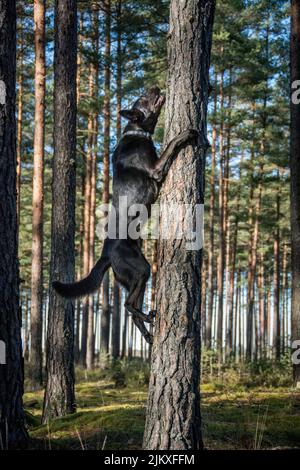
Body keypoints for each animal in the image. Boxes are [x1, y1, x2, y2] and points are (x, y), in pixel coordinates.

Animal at [53, 86, 199, 344]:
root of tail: (106, 255)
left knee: (131, 310)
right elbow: (172, 143)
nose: (155, 87)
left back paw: (148, 332)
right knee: (128, 305)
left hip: (136, 277)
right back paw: (148, 319)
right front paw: (187, 132)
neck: (136, 132)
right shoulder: (156, 168)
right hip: (141, 269)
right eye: (144, 99)